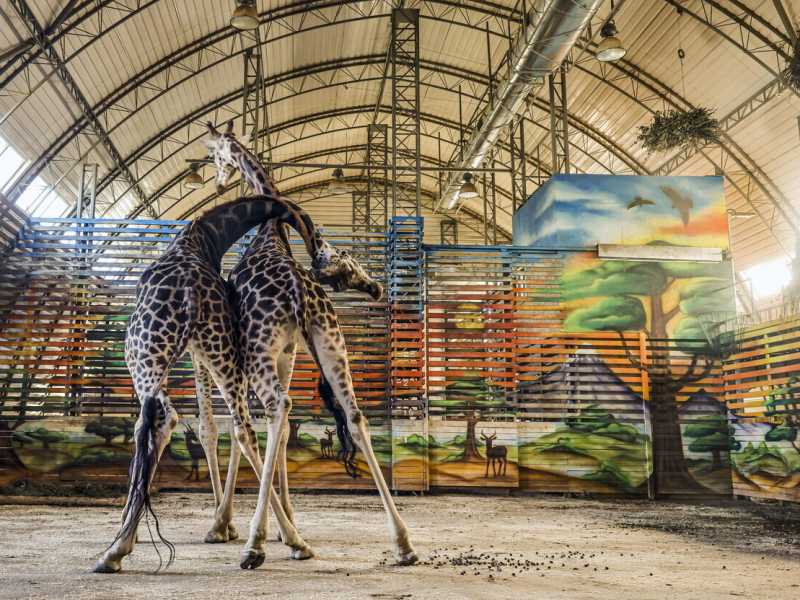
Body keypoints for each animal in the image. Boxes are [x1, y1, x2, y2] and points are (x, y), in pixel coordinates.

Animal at [92, 193, 330, 573]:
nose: (321, 265)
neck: (206, 237)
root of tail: (190, 296)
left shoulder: (187, 355)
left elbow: (194, 428)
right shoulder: (203, 353)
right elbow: (216, 428)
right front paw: (226, 524)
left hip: (144, 355)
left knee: (158, 421)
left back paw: (116, 550)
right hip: (221, 350)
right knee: (244, 427)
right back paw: (293, 540)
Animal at [205, 124, 418, 569]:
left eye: (216, 154)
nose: (217, 181)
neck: (270, 234)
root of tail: (298, 294)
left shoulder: (253, 354)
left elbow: (247, 430)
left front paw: (232, 525)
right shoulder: (289, 354)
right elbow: (283, 432)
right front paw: (286, 523)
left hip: (260, 353)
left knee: (274, 411)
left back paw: (255, 543)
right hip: (331, 343)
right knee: (353, 416)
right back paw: (403, 543)